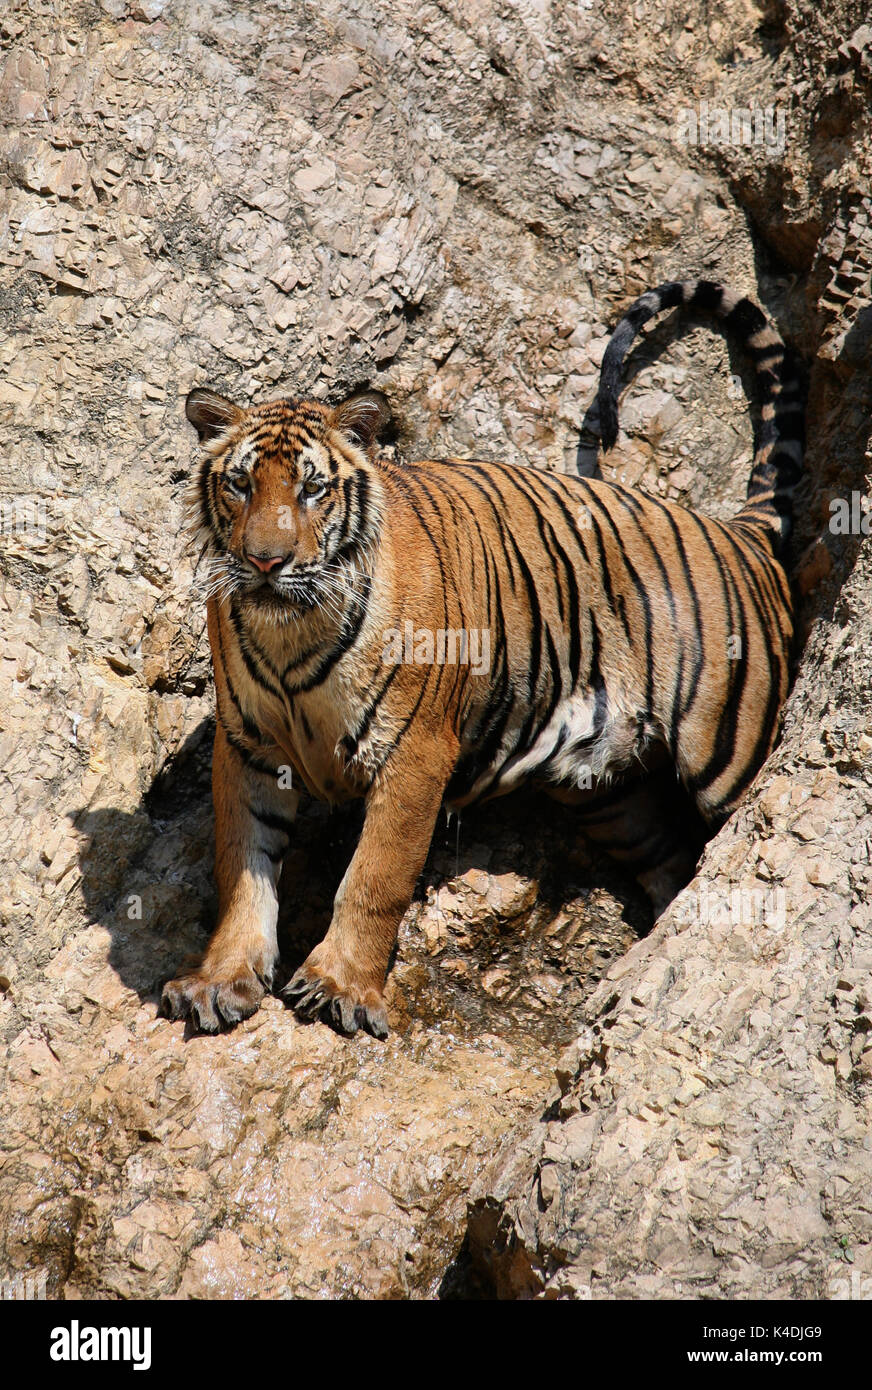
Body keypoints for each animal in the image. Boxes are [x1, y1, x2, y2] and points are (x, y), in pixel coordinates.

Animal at [162, 276, 806, 1039]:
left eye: (312, 489)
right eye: (240, 485)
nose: (265, 561)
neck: (292, 632)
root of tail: (740, 531)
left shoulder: (414, 752)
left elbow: (374, 876)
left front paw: (339, 986)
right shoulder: (248, 747)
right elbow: (243, 870)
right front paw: (220, 980)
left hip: (728, 753)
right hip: (610, 795)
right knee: (672, 861)